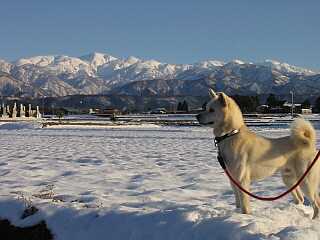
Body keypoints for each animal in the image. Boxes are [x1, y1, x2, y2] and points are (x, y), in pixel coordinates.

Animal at [198, 89, 320, 218]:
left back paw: (313, 219)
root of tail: (309, 144)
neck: (231, 134)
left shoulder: (242, 181)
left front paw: (245, 217)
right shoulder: (233, 181)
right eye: (206, 108)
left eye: (212, 110)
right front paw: (237, 215)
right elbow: (238, 203)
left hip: (306, 182)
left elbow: (245, 206)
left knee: (316, 203)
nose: (197, 116)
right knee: (300, 198)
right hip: (289, 179)